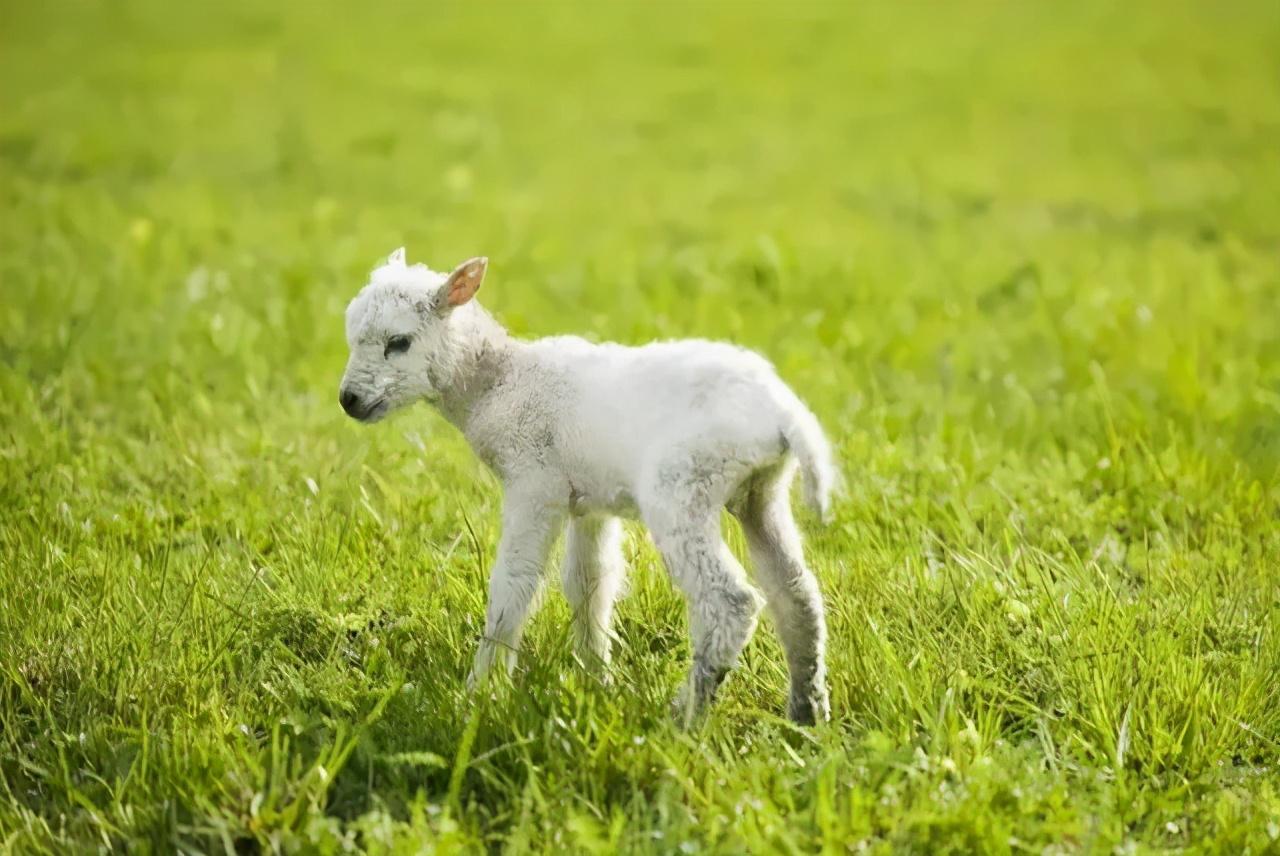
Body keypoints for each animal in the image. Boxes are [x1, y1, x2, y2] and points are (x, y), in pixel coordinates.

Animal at [340, 245, 839, 721]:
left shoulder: (534, 484)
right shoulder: (590, 500)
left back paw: (684, 717)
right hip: (761, 490)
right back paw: (807, 713)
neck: (498, 384)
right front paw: (596, 681)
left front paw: (480, 693)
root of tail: (783, 411)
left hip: (682, 486)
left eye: (398, 343)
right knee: (796, 593)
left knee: (729, 602)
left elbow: (513, 584)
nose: (348, 400)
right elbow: (590, 584)